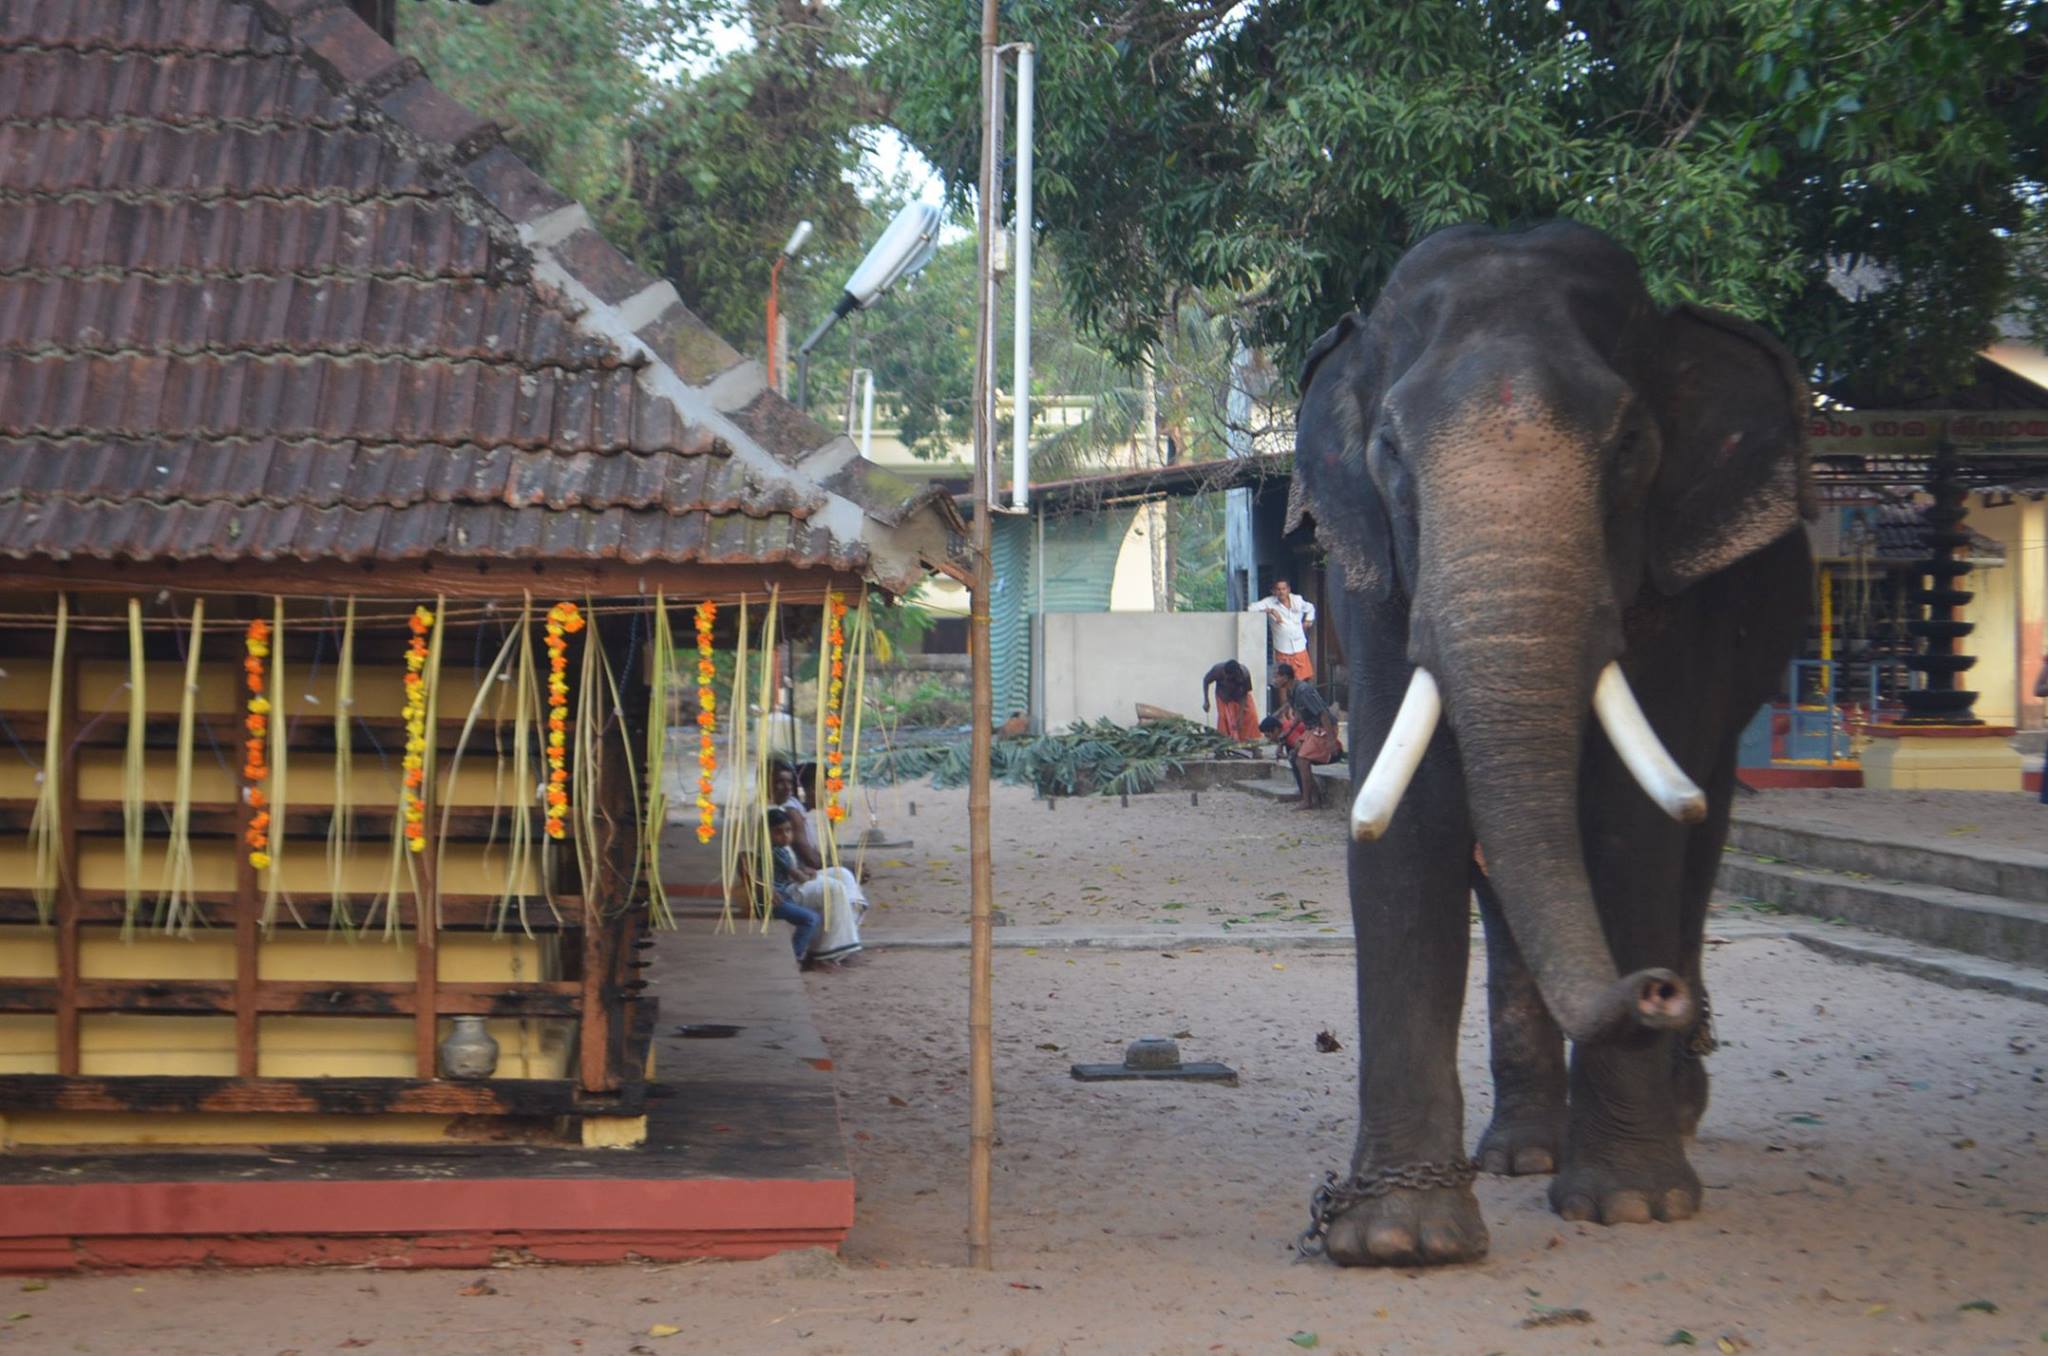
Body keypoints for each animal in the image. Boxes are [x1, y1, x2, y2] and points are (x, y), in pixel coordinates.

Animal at [1294, 218, 1810, 1269]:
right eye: (1388, 449)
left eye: (1631, 445)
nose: (1656, 992)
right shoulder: (1377, 582)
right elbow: (1410, 832)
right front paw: (1399, 1240)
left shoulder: (1672, 593)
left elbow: (1627, 830)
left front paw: (1633, 1208)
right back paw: (1524, 1154)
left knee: (1698, 838)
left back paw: (1661, 1115)